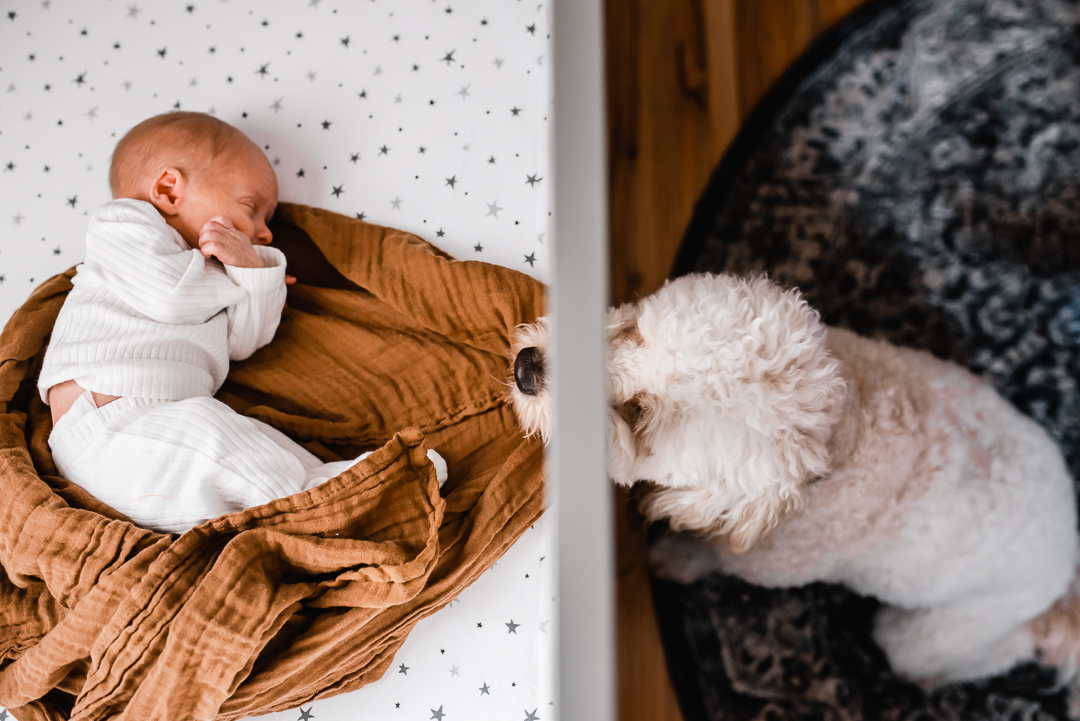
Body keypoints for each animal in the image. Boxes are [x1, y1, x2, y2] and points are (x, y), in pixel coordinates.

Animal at [509, 273, 1080, 686]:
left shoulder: (763, 562)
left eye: (639, 415)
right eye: (635, 334)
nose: (525, 368)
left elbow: (710, 554)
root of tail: (1064, 575)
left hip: (934, 634)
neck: (843, 433)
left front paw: (673, 557)